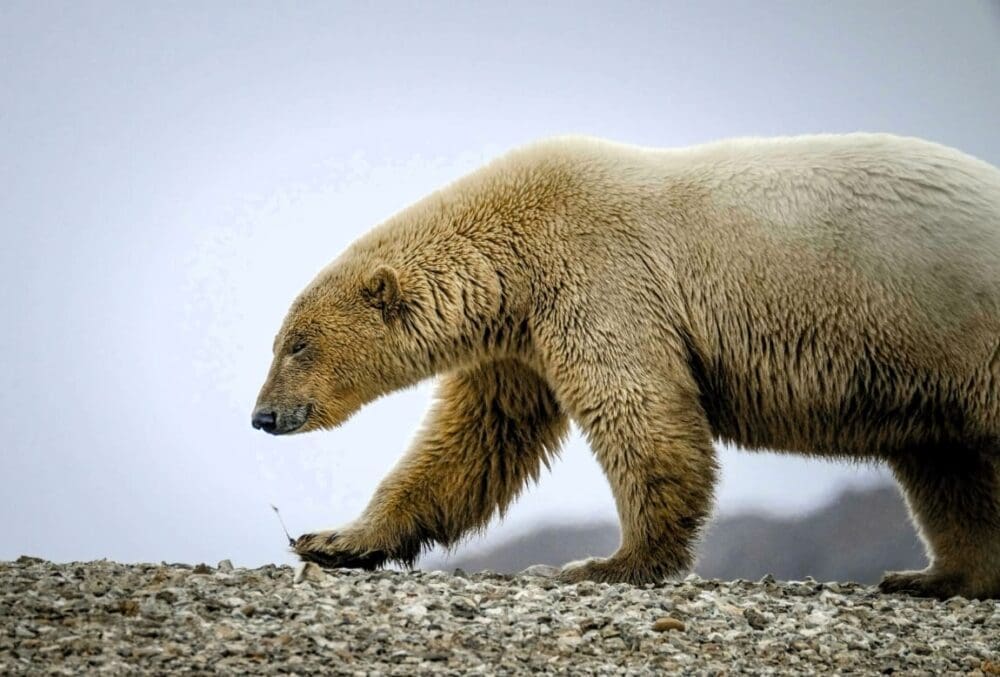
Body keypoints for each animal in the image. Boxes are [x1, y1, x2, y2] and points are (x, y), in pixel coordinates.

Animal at [252, 133, 1000, 599]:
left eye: (297, 344)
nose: (263, 416)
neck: (512, 244)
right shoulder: (519, 338)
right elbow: (473, 444)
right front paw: (331, 540)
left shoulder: (599, 275)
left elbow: (642, 416)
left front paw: (608, 562)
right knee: (945, 464)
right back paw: (935, 576)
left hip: (961, 325)